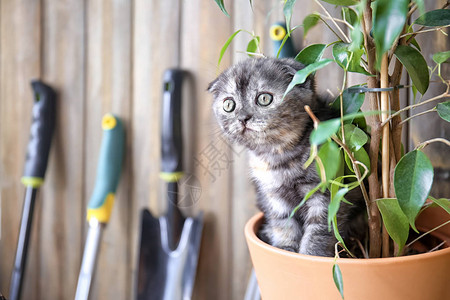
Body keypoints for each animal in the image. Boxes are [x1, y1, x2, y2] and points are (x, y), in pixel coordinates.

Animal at [209, 57, 364, 256]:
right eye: (229, 105)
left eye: (264, 99)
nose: (243, 118)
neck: (280, 157)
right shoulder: (274, 197)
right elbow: (283, 225)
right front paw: (285, 249)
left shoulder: (328, 195)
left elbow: (319, 232)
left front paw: (309, 256)